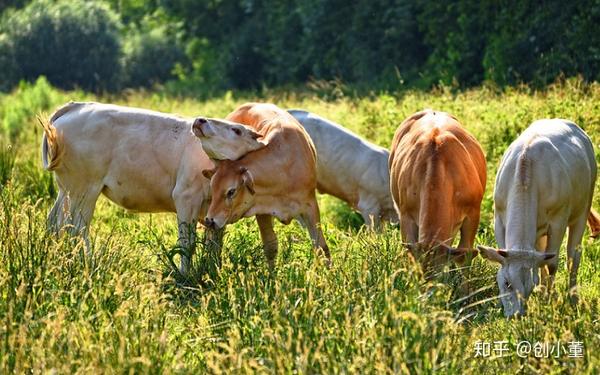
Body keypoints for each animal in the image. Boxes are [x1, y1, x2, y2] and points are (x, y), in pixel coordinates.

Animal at [38, 101, 241, 274]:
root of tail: (77, 106)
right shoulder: (186, 197)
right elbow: (187, 243)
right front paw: (186, 275)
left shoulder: (216, 213)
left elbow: (215, 245)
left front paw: (213, 271)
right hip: (84, 190)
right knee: (76, 228)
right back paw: (87, 262)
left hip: (67, 190)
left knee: (55, 222)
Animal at [197, 103, 330, 268]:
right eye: (213, 187)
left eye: (231, 191)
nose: (210, 220)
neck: (283, 169)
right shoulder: (262, 210)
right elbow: (271, 247)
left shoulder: (310, 206)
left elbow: (322, 248)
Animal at [478, 119, 600, 318]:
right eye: (507, 283)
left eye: (529, 287)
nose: (517, 315)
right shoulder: (499, 219)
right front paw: (543, 295)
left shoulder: (558, 220)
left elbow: (551, 263)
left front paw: (548, 299)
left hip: (583, 207)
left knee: (573, 256)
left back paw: (572, 297)